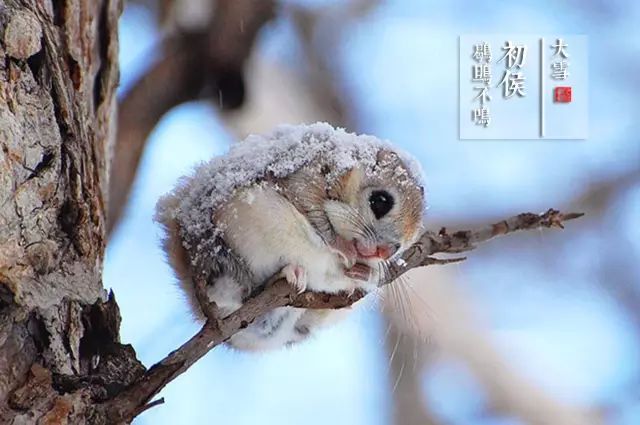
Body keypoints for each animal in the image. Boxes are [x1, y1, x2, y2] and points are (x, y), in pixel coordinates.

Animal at [155, 121, 424, 348]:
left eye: (402, 246)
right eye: (380, 201)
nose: (385, 252)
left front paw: (367, 272)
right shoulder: (305, 179)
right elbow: (316, 216)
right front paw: (342, 247)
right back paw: (288, 273)